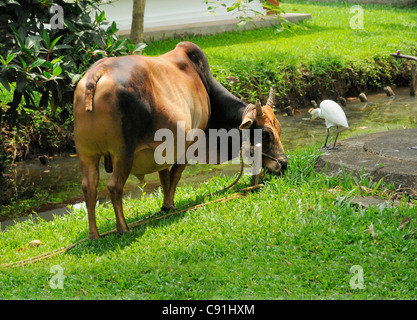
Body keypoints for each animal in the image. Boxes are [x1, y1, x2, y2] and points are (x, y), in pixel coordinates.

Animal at [74, 41, 286, 239]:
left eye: (279, 129)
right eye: (265, 134)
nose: (284, 163)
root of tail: (97, 72)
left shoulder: (161, 150)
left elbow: (164, 176)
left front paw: (165, 205)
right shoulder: (190, 143)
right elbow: (175, 175)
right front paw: (169, 204)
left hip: (87, 154)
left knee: (89, 188)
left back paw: (93, 234)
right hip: (123, 153)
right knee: (114, 187)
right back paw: (123, 228)